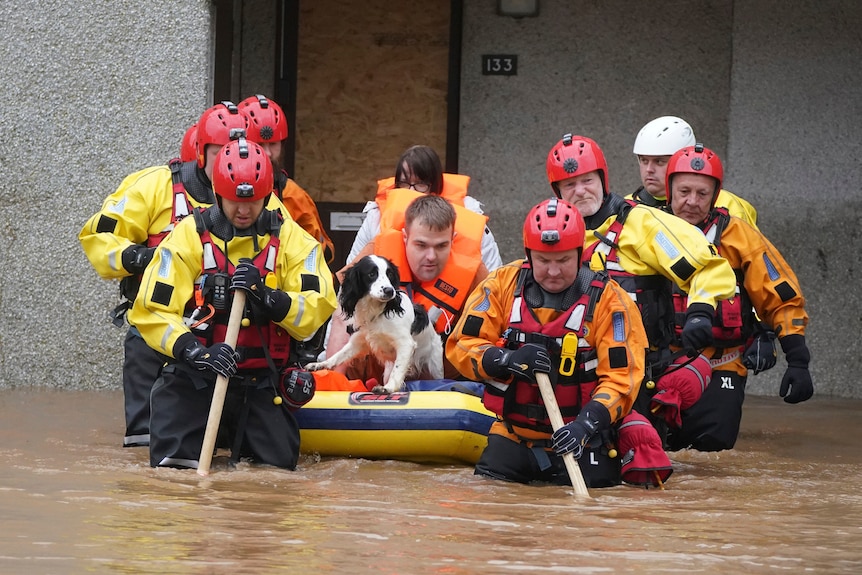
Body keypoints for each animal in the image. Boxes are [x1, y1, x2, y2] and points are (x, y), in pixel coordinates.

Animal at [308, 254, 446, 394]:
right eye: (372, 274)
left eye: (390, 274)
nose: (389, 291)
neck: (376, 312)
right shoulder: (358, 341)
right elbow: (338, 355)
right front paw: (320, 365)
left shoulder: (406, 344)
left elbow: (397, 371)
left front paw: (388, 388)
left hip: (435, 368)